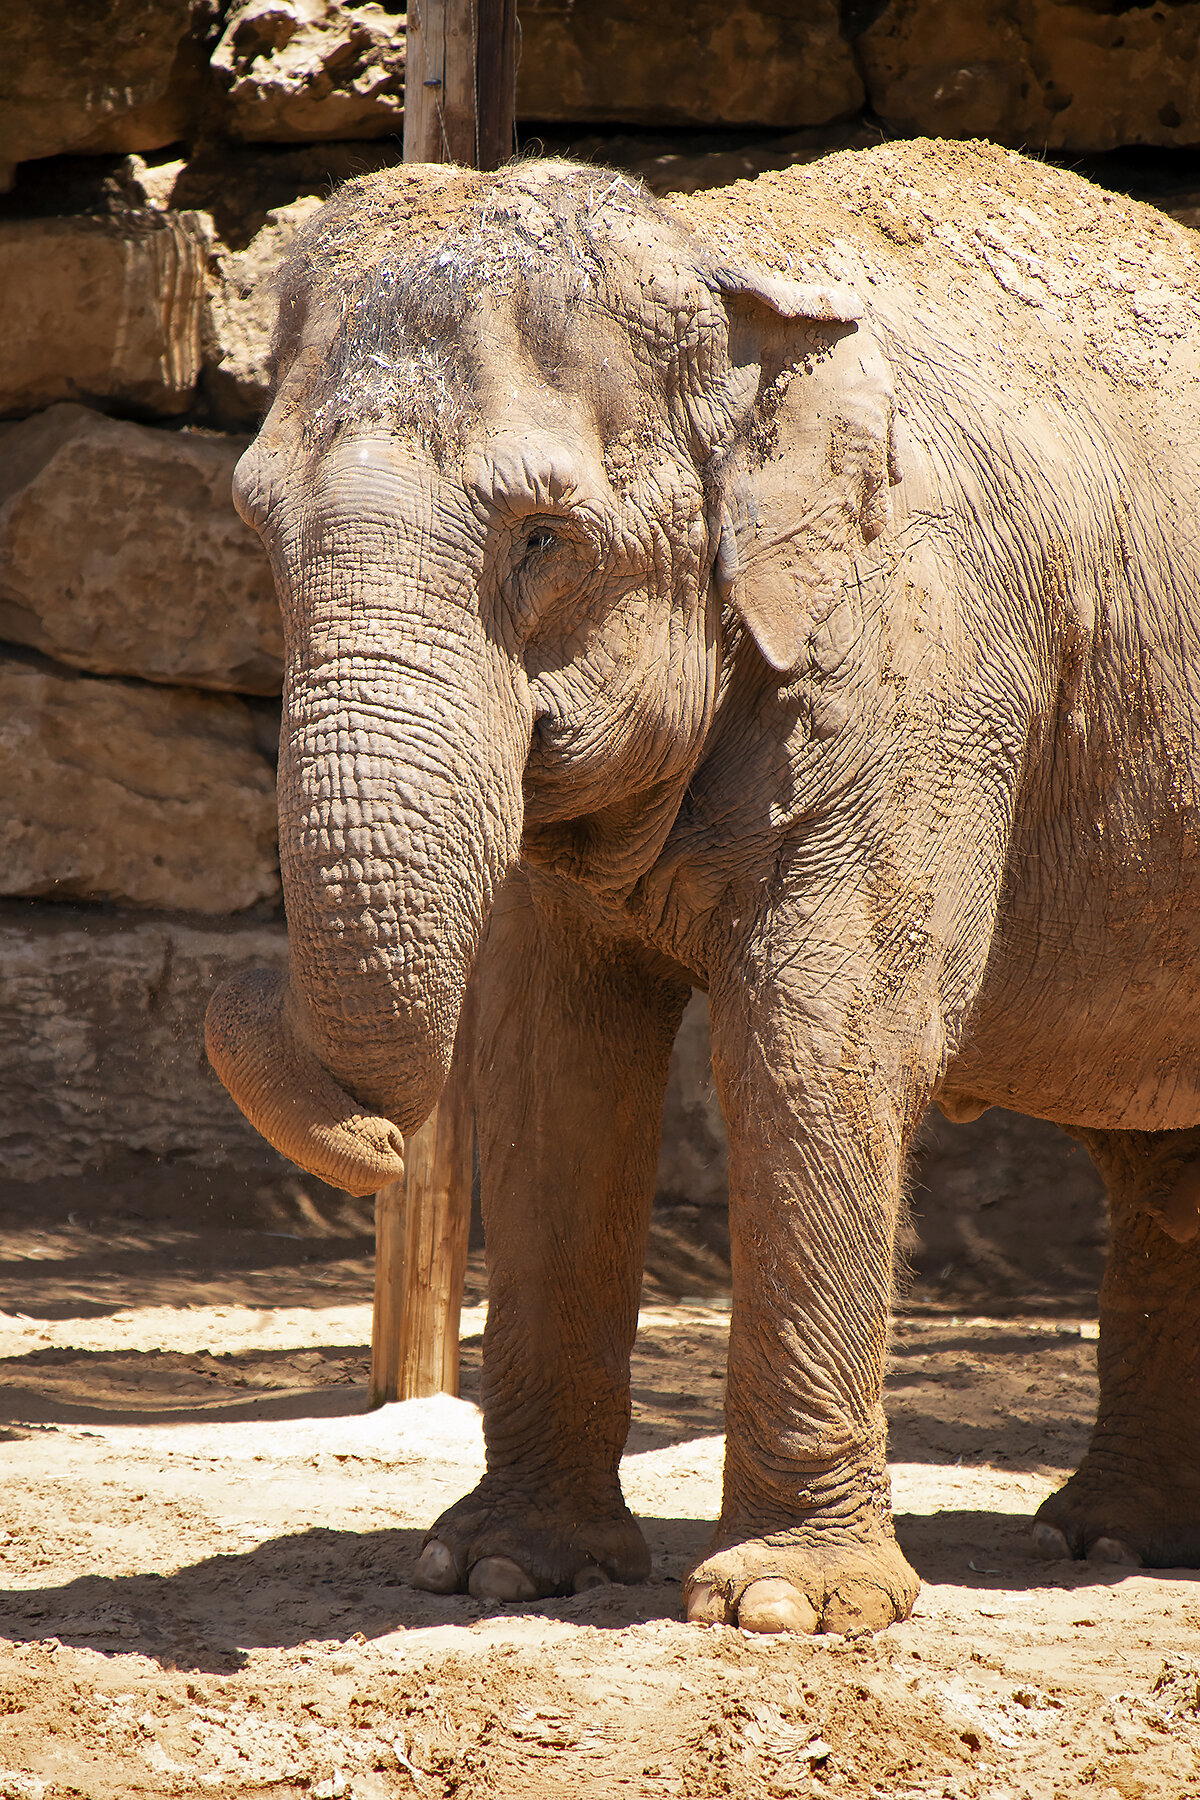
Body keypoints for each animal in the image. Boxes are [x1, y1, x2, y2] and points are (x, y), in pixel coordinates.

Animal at [206, 133, 1200, 1641]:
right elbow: (548, 1063)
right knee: (1155, 1155)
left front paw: (784, 1609)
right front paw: (501, 1569)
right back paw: (1105, 1540)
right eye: (258, 528)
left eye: (543, 538)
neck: (720, 258)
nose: (368, 1141)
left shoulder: (924, 660)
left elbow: (820, 1041)